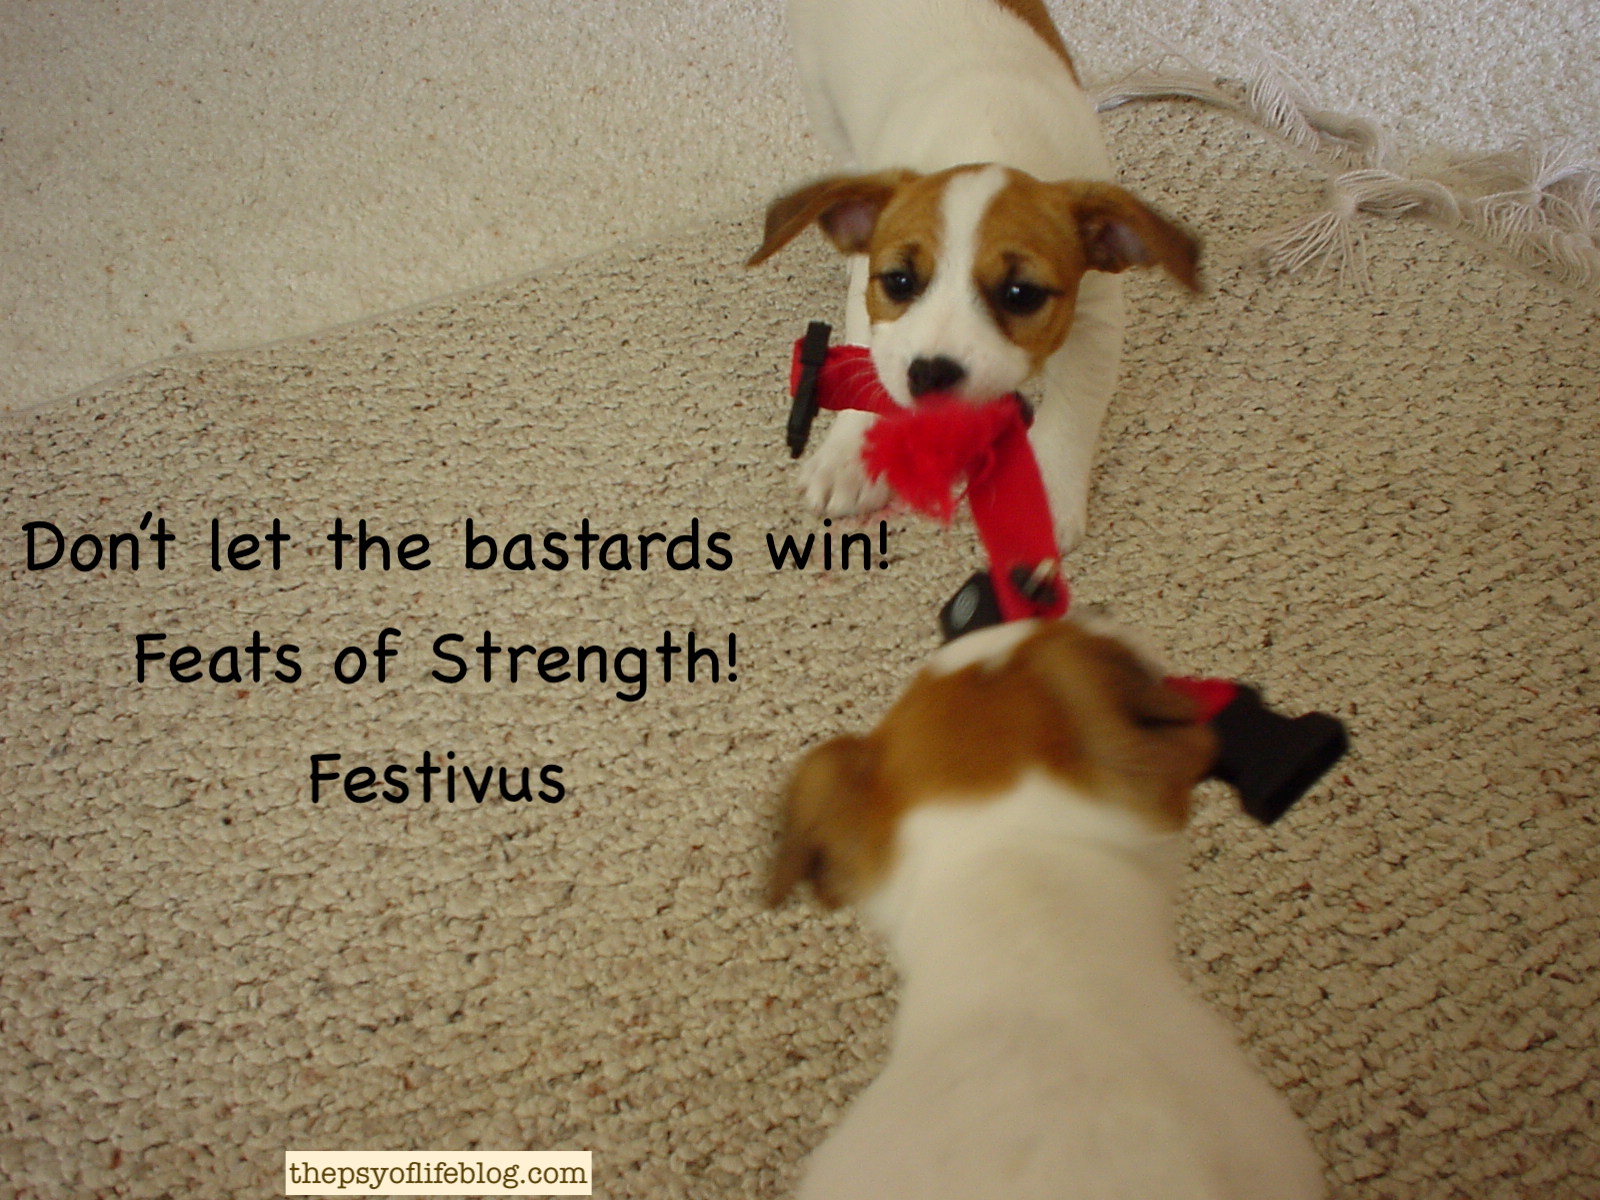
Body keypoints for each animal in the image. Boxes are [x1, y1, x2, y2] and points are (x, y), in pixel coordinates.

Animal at [748, 0, 1200, 552]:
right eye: (899, 282)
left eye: (1021, 294)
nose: (931, 373)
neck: (991, 131)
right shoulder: (867, 291)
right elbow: (867, 359)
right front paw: (851, 454)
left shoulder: (1097, 313)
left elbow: (1073, 408)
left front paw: (1042, 495)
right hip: (820, 86)